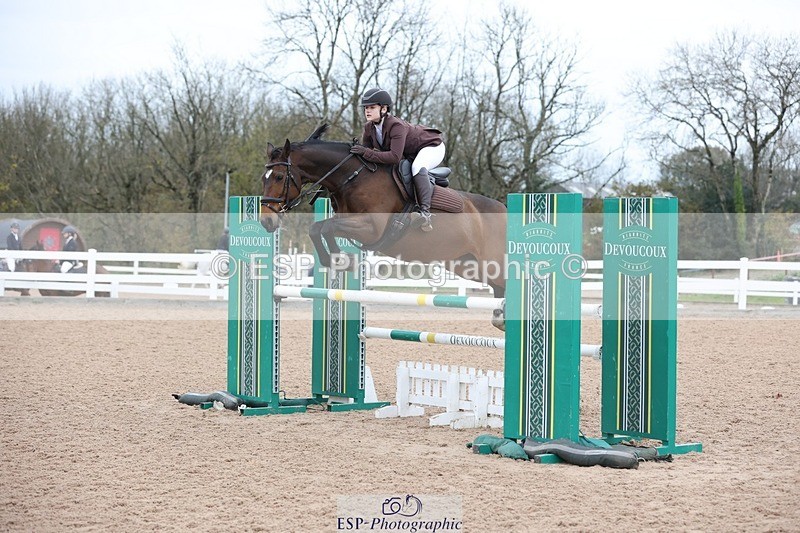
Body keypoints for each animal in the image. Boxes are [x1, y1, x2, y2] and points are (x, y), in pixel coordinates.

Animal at [259, 124, 508, 327]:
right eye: (264, 178)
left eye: (279, 177)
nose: (266, 221)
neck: (352, 177)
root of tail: (506, 211)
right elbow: (318, 228)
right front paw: (340, 261)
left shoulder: (371, 228)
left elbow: (325, 227)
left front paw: (342, 260)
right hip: (469, 265)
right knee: (499, 289)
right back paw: (500, 320)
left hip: (492, 263)